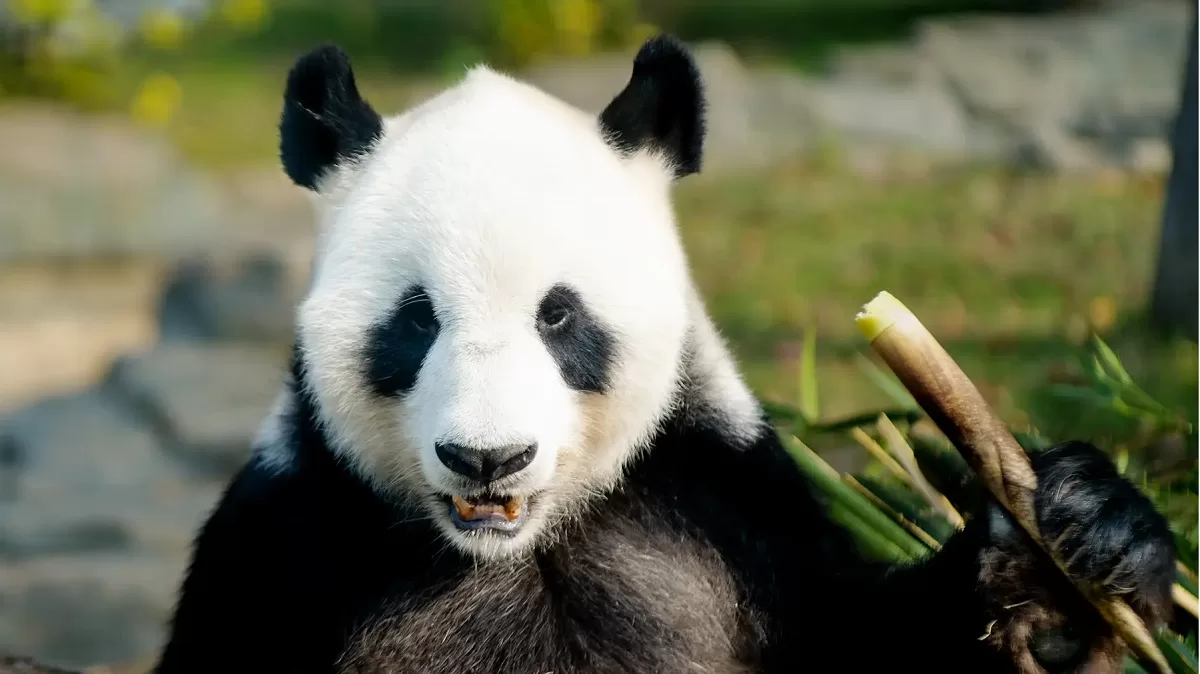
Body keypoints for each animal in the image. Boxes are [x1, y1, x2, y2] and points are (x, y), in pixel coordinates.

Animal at [154, 35, 1177, 674]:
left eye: (558, 318)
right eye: (415, 321)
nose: (489, 460)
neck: (520, 548)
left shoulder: (721, 500)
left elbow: (864, 635)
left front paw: (1067, 558)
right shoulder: (284, 544)